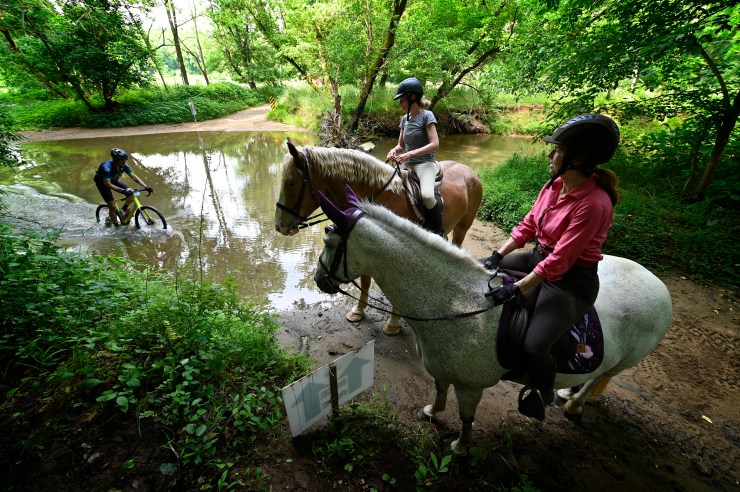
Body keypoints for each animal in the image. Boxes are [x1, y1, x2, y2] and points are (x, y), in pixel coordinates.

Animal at [274, 139, 483, 335]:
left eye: (291, 183)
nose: (279, 226)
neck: (379, 196)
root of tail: (469, 171)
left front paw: (393, 323)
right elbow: (365, 280)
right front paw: (358, 311)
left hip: (462, 228)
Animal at [313, 186, 673, 455]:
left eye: (329, 241)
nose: (318, 279)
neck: (456, 303)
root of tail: (660, 286)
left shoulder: (470, 386)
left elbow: (466, 417)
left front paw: (461, 447)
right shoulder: (443, 369)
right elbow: (439, 391)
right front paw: (431, 413)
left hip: (625, 360)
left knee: (600, 378)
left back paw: (573, 405)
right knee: (593, 375)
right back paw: (566, 394)